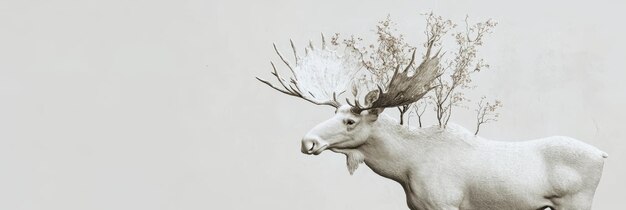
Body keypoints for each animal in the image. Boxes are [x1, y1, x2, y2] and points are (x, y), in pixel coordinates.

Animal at [258, 38, 604, 210]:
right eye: (333, 114)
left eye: (349, 120)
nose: (307, 142)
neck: (405, 168)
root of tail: (603, 155)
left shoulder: (446, 204)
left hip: (575, 203)